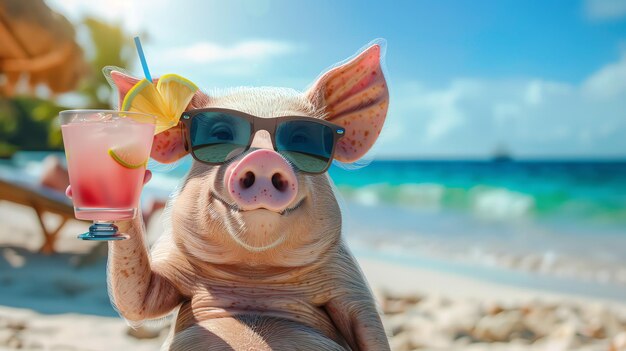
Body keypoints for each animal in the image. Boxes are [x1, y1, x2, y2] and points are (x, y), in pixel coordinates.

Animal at [103, 42, 388, 351]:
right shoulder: (171, 262)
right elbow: (137, 300)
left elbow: (372, 332)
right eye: (220, 135)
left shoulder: (348, 281)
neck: (255, 272)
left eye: (302, 138)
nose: (263, 157)